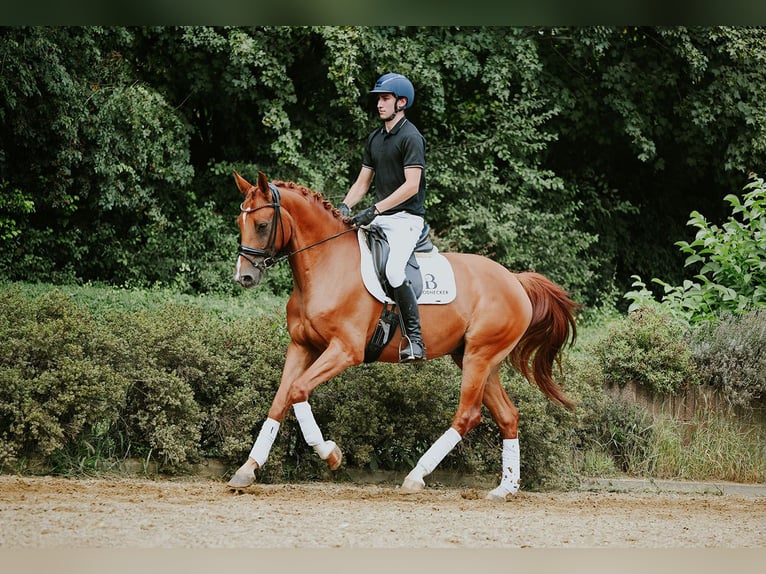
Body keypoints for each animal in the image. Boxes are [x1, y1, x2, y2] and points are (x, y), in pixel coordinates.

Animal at [227, 170, 578, 501]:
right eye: (239, 222)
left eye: (261, 225)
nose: (244, 277)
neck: (325, 265)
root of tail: (514, 280)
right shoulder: (301, 346)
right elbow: (280, 400)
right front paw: (247, 469)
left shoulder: (344, 350)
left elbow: (298, 390)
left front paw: (331, 454)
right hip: (476, 359)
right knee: (508, 416)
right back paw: (504, 489)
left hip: (479, 357)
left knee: (467, 415)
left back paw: (416, 476)